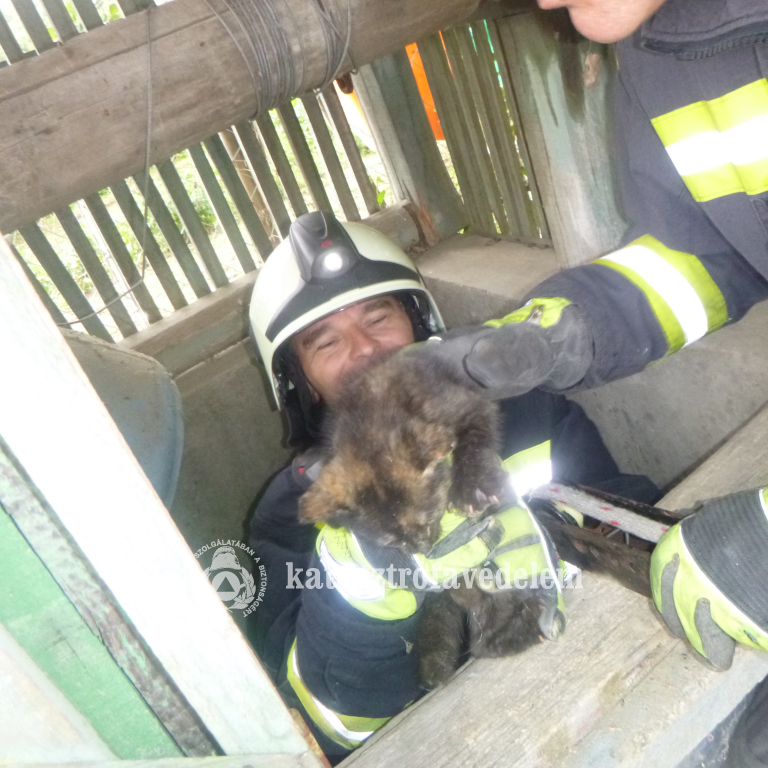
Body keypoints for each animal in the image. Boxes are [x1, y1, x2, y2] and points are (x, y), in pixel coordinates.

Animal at [299, 350, 547, 689]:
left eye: (428, 518)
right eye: (393, 542)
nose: (424, 548)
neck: (370, 417)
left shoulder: (467, 403)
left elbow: (475, 436)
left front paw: (471, 484)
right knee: (481, 634)